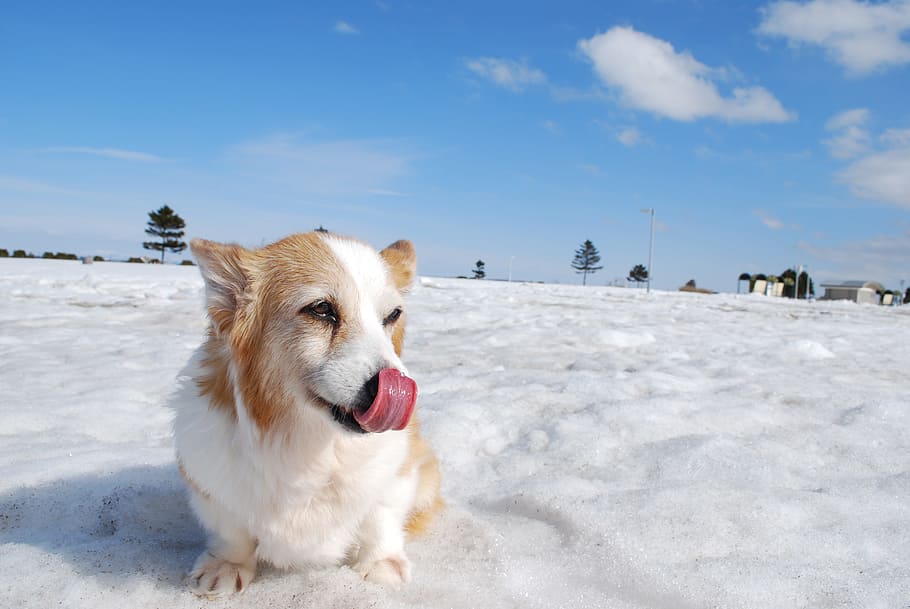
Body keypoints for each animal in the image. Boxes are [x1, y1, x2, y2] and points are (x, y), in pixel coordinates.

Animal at [175, 230, 446, 596]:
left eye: (392, 315)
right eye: (321, 309)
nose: (397, 389)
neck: (315, 446)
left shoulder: (399, 472)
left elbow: (381, 518)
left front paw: (380, 565)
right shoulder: (210, 485)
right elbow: (231, 531)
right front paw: (226, 566)